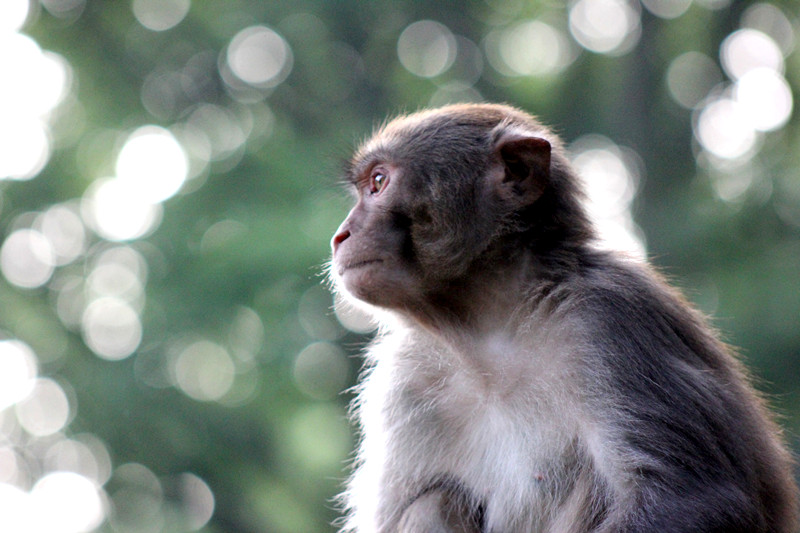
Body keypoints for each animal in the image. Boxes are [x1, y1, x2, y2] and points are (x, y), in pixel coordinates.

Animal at [328, 102, 796, 528]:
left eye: (379, 182)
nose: (341, 235)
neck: (489, 330)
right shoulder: (405, 380)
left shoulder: (610, 317)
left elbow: (696, 498)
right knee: (433, 502)